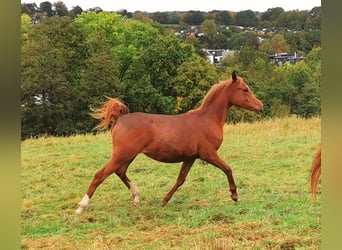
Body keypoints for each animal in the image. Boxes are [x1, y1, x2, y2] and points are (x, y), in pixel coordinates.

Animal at [75, 71, 262, 214]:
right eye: (245, 89)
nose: (260, 106)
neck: (207, 120)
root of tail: (120, 118)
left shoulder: (190, 157)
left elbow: (180, 180)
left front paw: (164, 201)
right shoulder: (208, 154)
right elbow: (228, 169)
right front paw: (234, 196)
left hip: (127, 156)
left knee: (120, 172)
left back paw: (136, 197)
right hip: (122, 154)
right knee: (100, 175)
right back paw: (81, 207)